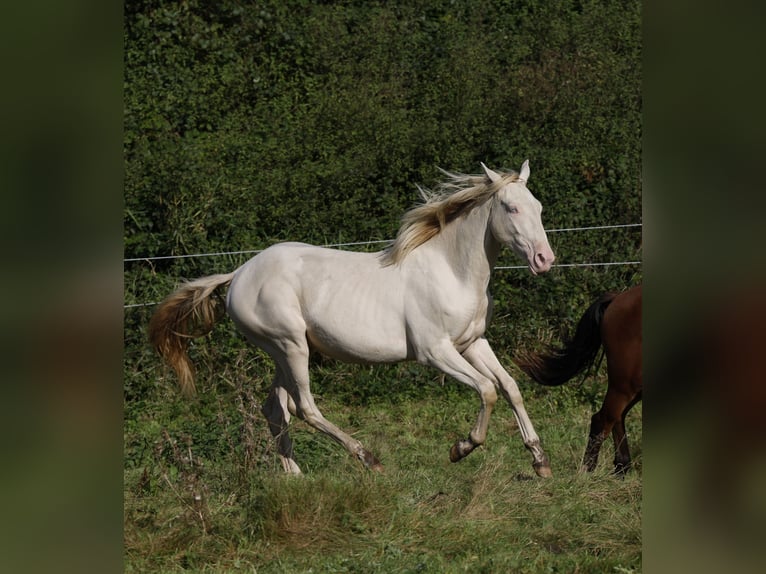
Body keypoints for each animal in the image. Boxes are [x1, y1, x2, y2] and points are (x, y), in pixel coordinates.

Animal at [152, 161, 560, 476]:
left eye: (539, 207)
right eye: (510, 208)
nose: (544, 259)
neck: (451, 272)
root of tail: (238, 274)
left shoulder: (472, 343)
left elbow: (510, 387)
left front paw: (540, 461)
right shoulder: (435, 352)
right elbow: (487, 390)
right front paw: (461, 448)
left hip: (283, 352)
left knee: (275, 408)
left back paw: (295, 475)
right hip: (290, 346)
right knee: (304, 407)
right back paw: (368, 458)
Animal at [516, 286, 640, 474]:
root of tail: (618, 297)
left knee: (617, 418)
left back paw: (621, 467)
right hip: (627, 383)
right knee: (602, 420)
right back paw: (588, 472)